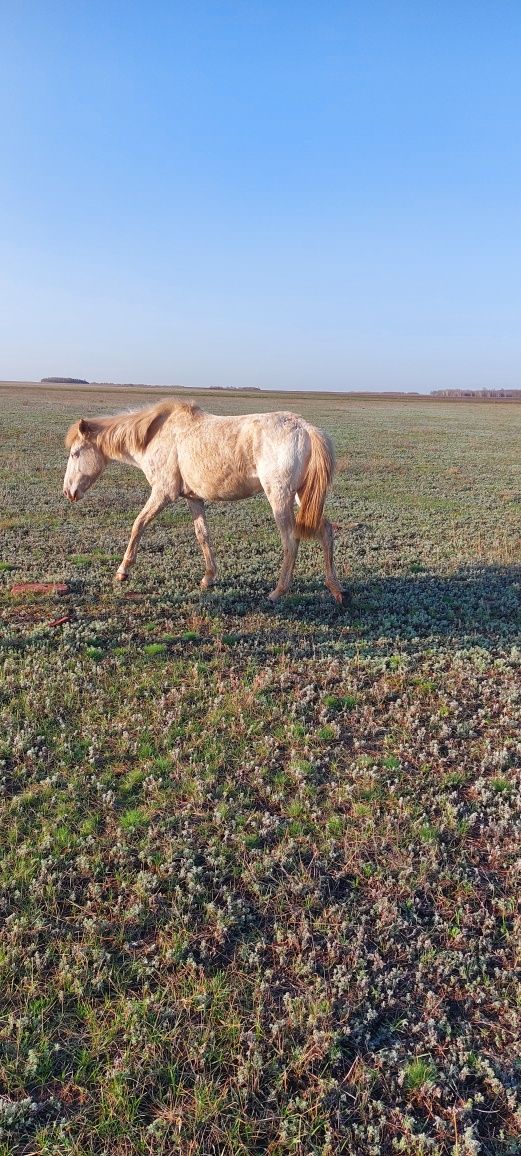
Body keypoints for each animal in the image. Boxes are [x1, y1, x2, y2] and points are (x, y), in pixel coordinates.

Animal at [63, 399, 344, 605]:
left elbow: (138, 525)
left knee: (291, 541)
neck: (155, 435)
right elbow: (203, 536)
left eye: (75, 453)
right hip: (302, 495)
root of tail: (305, 428)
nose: (68, 492)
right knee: (325, 530)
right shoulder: (194, 499)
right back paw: (336, 589)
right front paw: (208, 578)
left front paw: (123, 571)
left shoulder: (162, 493)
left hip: (280, 496)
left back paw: (278, 592)